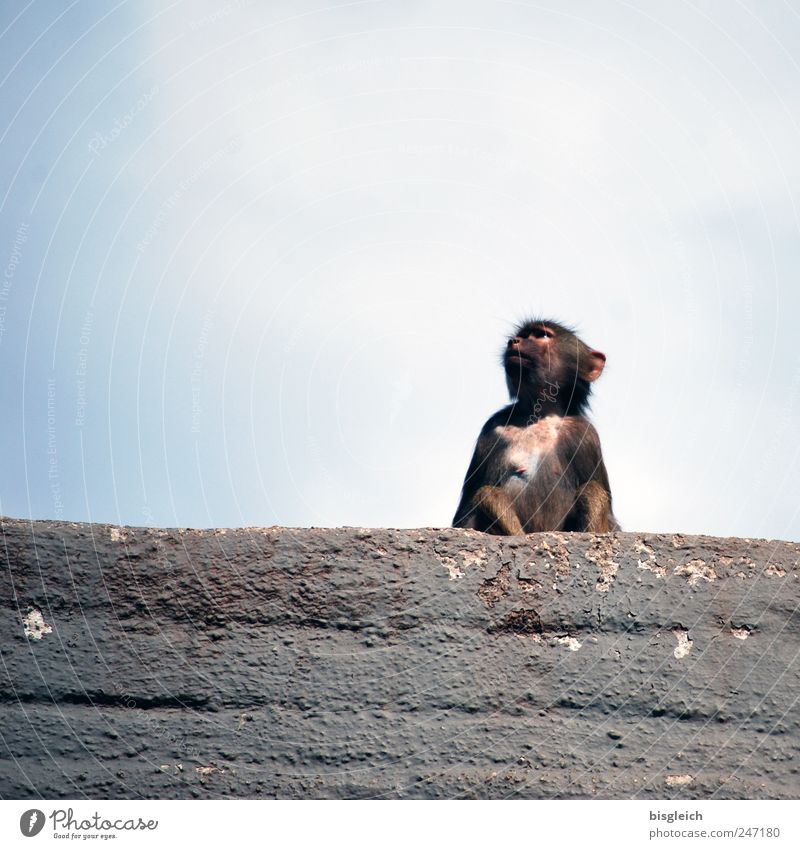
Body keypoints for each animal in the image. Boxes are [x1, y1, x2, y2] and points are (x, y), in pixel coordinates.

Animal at [450, 318, 620, 536]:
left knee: (592, 490)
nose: (513, 342)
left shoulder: (585, 435)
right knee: (488, 494)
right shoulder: (491, 431)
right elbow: (465, 515)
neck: (540, 414)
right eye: (522, 335)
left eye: (542, 335)